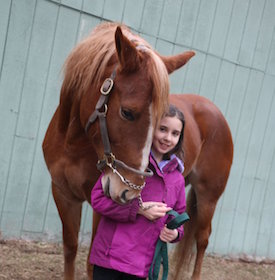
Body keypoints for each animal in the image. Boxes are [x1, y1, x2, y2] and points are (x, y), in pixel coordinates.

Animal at [42, 22, 195, 280]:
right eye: (127, 112)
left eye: (161, 120)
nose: (129, 193)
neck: (74, 145)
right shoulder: (62, 193)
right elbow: (70, 248)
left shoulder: (101, 207)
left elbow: (92, 263)